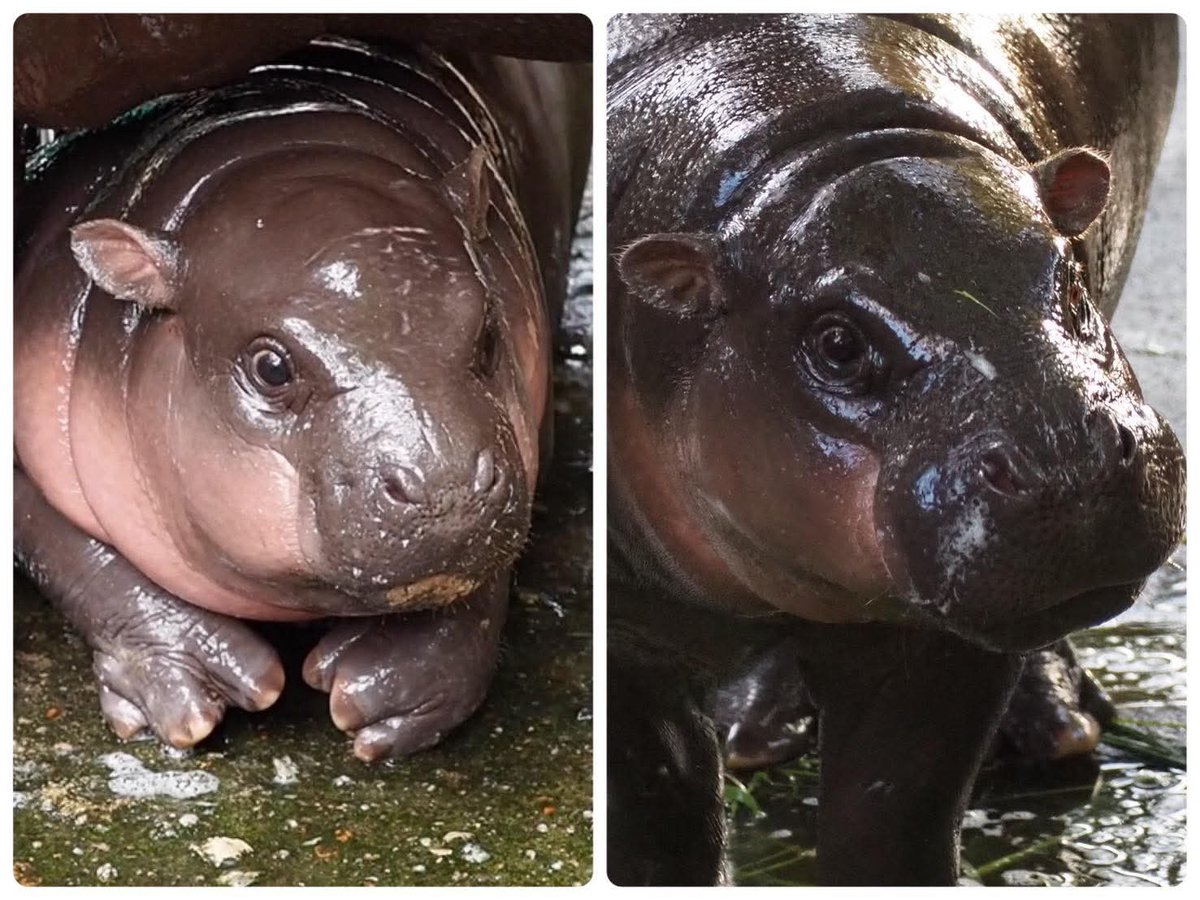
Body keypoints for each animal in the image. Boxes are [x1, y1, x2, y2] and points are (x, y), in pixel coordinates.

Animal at [14, 34, 590, 762]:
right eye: (271, 368)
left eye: (487, 329)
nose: (449, 485)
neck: (284, 126)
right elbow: (64, 546)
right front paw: (192, 679)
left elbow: (482, 577)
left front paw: (387, 690)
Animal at [607, 14, 1184, 886]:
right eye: (838, 343)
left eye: (1070, 280)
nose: (1069, 466)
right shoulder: (626, 646)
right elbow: (659, 829)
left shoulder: (939, 645)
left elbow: (893, 815)